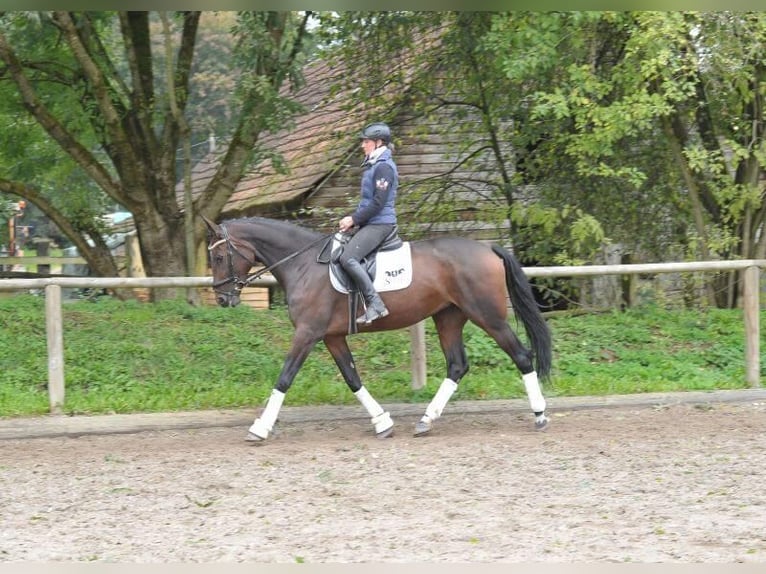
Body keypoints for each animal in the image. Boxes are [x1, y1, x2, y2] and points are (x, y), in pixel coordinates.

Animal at [202, 216, 552, 446]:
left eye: (218, 256)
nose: (223, 298)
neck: (303, 264)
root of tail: (489, 248)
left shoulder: (308, 333)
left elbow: (285, 378)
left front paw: (259, 428)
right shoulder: (331, 336)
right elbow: (352, 377)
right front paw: (382, 422)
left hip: (488, 316)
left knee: (521, 356)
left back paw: (540, 415)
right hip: (448, 318)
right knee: (457, 365)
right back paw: (426, 420)